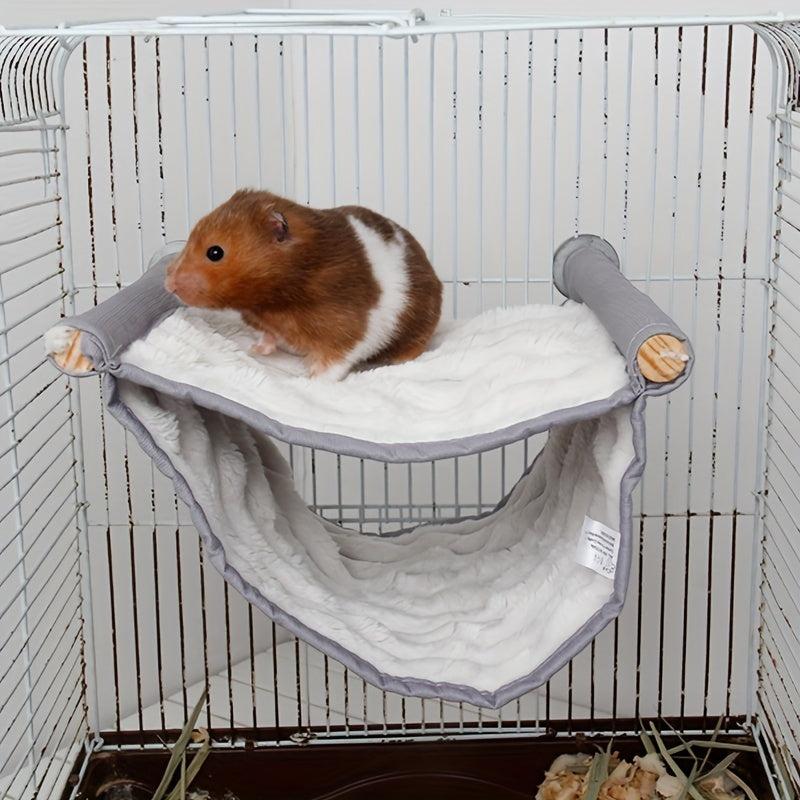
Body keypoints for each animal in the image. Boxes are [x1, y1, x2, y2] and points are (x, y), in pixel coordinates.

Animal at [165, 189, 443, 380]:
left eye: (215, 253)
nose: (168, 284)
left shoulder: (348, 334)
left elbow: (333, 364)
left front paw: (310, 379)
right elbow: (268, 335)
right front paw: (257, 349)